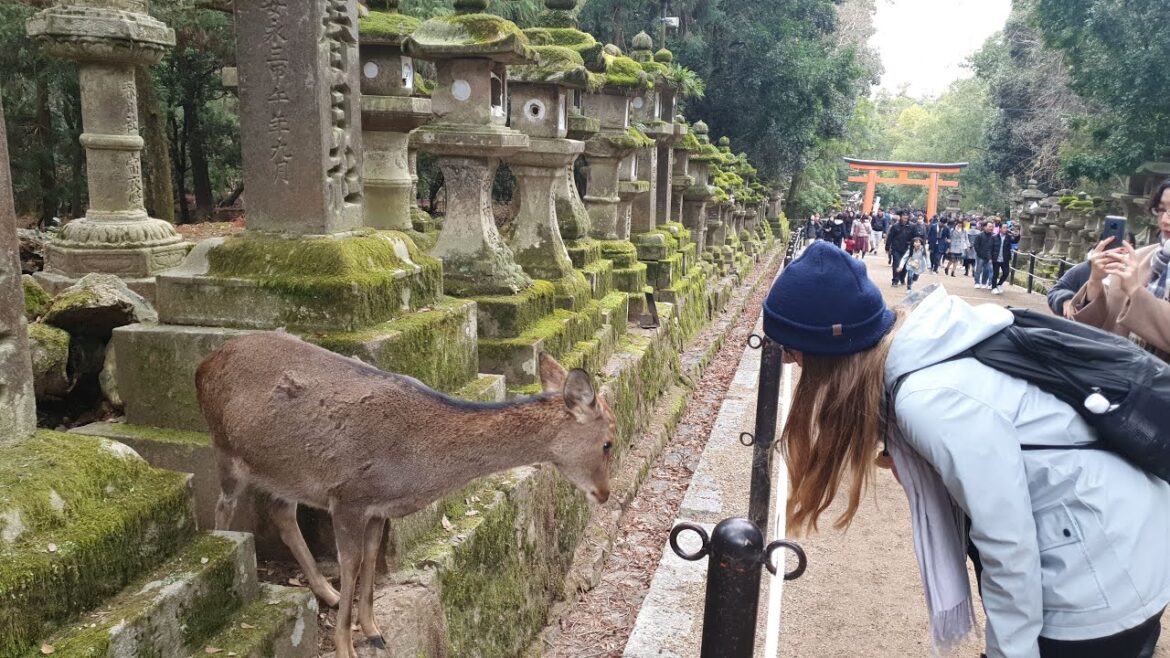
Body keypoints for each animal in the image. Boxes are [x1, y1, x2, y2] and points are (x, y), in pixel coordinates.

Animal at [195, 332, 615, 658]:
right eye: (608, 442)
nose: (605, 494)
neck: (413, 467)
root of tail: (202, 365)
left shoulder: (378, 508)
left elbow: (369, 559)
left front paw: (374, 630)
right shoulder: (347, 497)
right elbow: (351, 564)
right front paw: (346, 646)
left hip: (286, 471)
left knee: (281, 513)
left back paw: (326, 592)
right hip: (226, 449)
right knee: (223, 507)